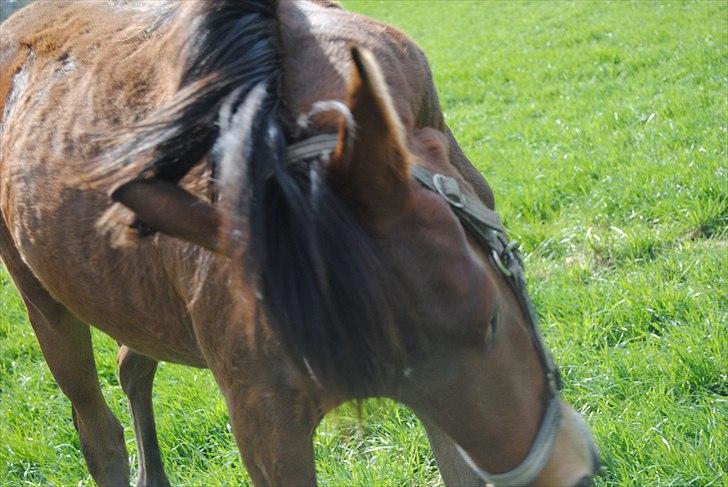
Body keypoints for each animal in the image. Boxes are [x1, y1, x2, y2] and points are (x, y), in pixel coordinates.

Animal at [0, 1, 596, 486]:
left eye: (491, 321)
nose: (566, 474)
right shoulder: (265, 420)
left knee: (132, 362)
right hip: (46, 307)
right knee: (98, 432)